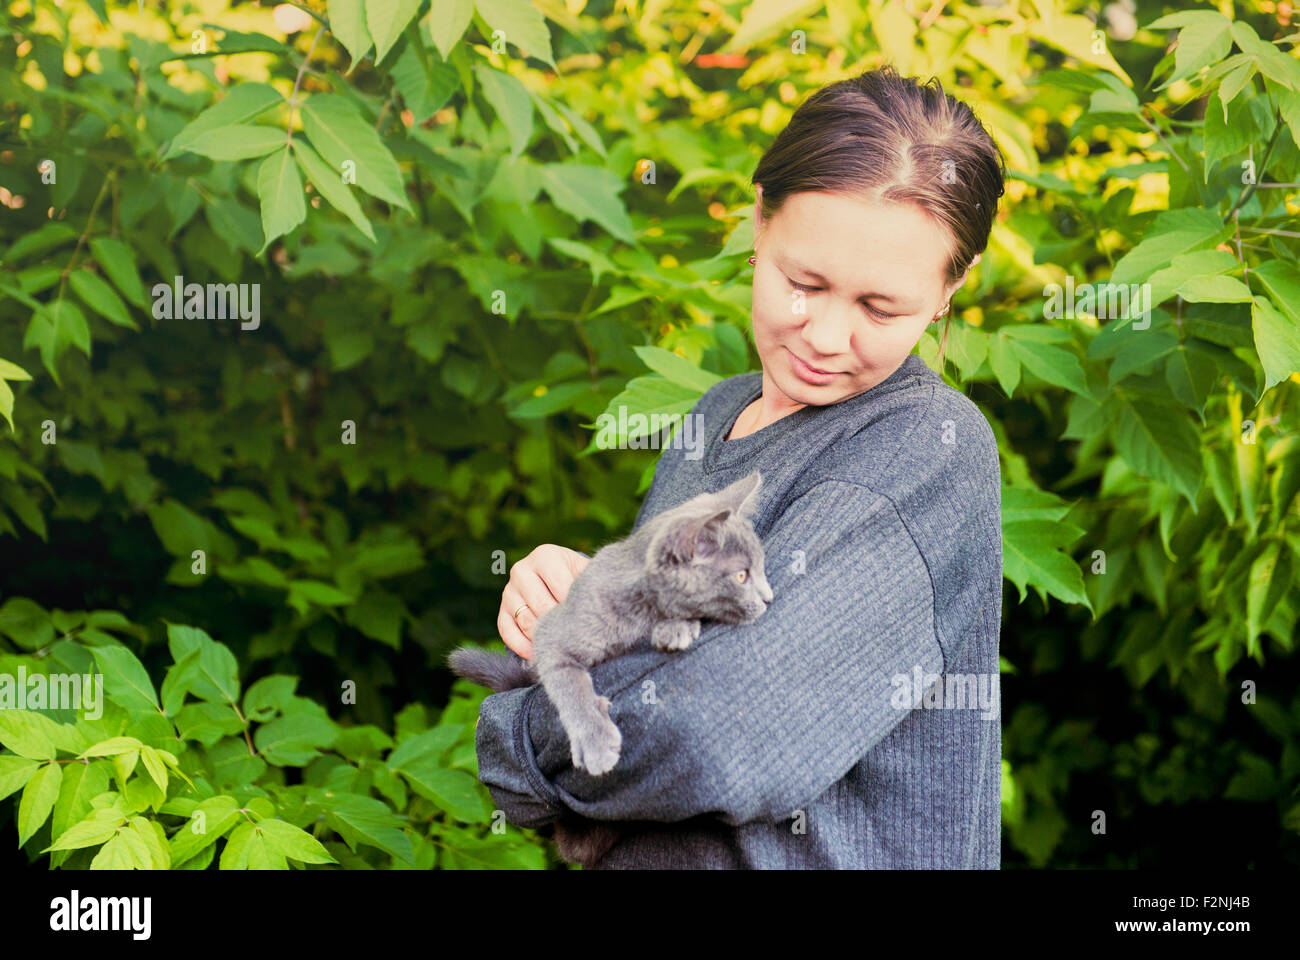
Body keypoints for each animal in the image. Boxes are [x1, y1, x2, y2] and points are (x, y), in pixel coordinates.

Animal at [447, 468, 769, 863]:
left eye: (763, 568)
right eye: (741, 576)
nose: (769, 598)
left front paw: (675, 626)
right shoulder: (552, 636)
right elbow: (571, 687)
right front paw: (596, 741)